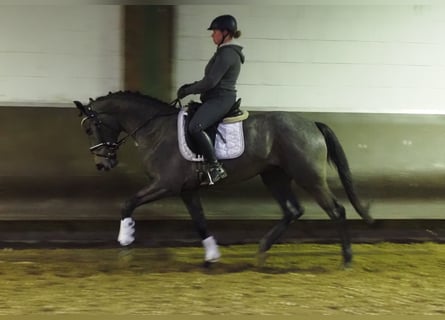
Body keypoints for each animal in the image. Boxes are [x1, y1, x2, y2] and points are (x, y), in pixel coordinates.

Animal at [73, 90, 372, 268]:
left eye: (89, 128)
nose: (102, 164)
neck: (156, 129)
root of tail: (312, 124)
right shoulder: (186, 190)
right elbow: (200, 221)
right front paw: (212, 254)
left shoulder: (166, 184)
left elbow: (128, 202)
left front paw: (125, 238)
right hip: (274, 176)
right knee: (293, 210)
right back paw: (261, 250)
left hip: (308, 176)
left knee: (336, 210)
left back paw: (347, 259)